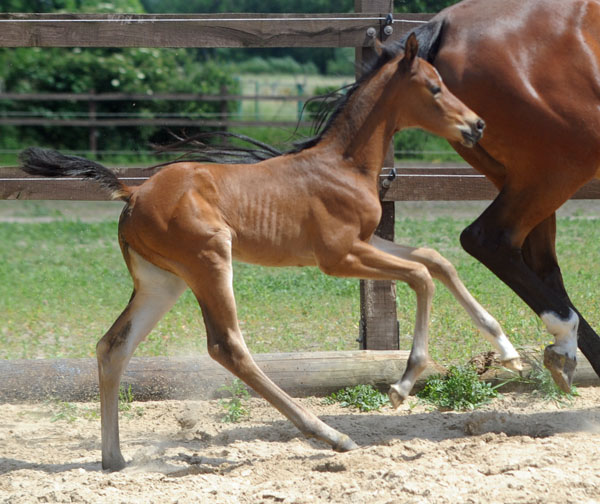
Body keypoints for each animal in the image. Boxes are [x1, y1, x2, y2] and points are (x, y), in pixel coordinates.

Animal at [17, 36, 516, 472]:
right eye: (434, 87)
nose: (478, 125)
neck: (343, 164)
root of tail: (132, 193)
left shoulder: (365, 241)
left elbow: (435, 259)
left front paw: (507, 350)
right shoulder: (338, 258)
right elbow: (420, 275)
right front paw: (403, 383)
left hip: (163, 282)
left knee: (113, 346)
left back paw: (114, 458)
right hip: (210, 260)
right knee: (227, 346)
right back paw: (330, 434)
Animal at [404, 0, 600, 392]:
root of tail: (446, 23)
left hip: (522, 177)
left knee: (539, 264)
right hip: (560, 166)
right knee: (488, 239)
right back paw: (564, 340)